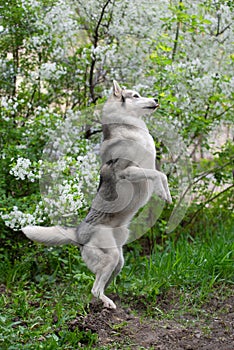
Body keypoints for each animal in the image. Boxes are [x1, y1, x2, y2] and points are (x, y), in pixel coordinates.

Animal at [22, 80, 172, 308]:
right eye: (136, 95)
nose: (156, 99)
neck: (130, 129)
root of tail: (77, 233)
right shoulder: (127, 171)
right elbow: (157, 174)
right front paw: (164, 194)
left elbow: (160, 175)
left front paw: (166, 195)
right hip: (111, 257)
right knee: (95, 288)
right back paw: (108, 303)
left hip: (118, 261)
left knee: (98, 285)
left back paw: (104, 301)